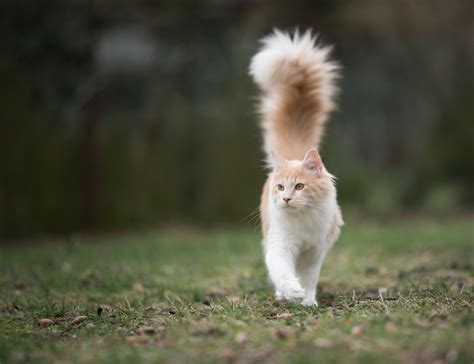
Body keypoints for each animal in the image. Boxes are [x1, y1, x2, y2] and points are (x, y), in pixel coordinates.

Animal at [248, 29, 344, 306]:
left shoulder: (314, 252)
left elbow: (309, 279)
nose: (287, 199)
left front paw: (308, 300)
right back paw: (282, 296)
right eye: (281, 187)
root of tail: (293, 156)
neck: (301, 221)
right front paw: (292, 292)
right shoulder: (280, 247)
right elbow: (282, 272)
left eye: (300, 186)